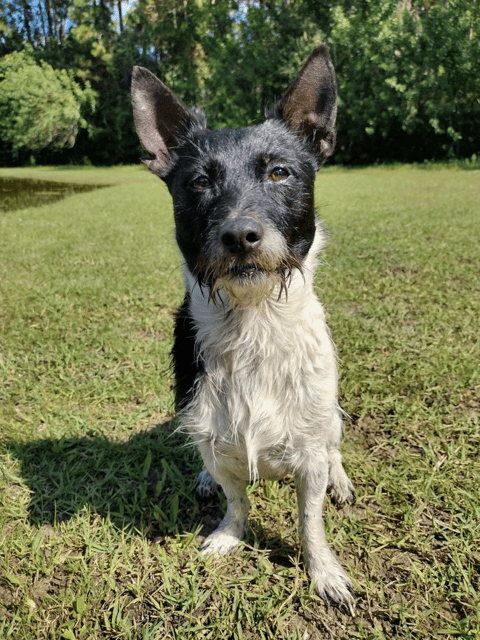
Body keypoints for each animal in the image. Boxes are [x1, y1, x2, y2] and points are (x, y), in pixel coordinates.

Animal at [131, 45, 356, 604]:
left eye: (279, 172)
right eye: (199, 182)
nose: (239, 235)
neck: (254, 322)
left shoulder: (310, 454)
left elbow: (310, 519)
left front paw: (322, 570)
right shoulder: (216, 438)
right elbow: (237, 499)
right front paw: (229, 535)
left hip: (334, 416)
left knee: (336, 446)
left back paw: (342, 480)